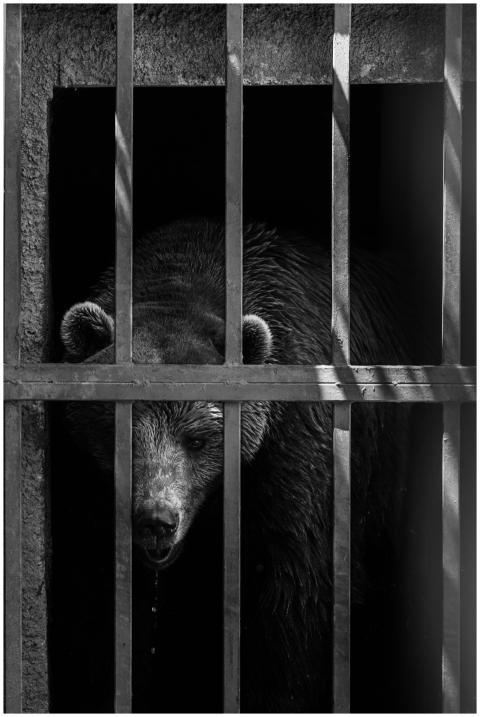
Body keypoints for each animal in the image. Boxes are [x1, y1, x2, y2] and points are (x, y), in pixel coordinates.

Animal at [60, 218, 409, 712]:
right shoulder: (89, 480)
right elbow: (99, 594)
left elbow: (297, 591)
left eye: (197, 439)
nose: (157, 519)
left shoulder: (296, 450)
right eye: (119, 433)